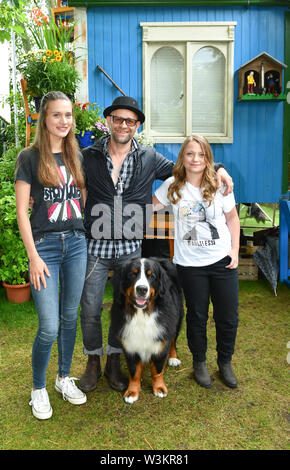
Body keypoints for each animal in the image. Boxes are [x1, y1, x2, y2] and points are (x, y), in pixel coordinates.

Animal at [110, 258, 184, 404]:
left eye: (151, 276)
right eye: (132, 274)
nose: (142, 289)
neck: (142, 314)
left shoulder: (160, 341)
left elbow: (157, 370)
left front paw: (159, 388)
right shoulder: (130, 345)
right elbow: (134, 372)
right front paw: (132, 392)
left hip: (176, 320)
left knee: (173, 339)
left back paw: (173, 358)